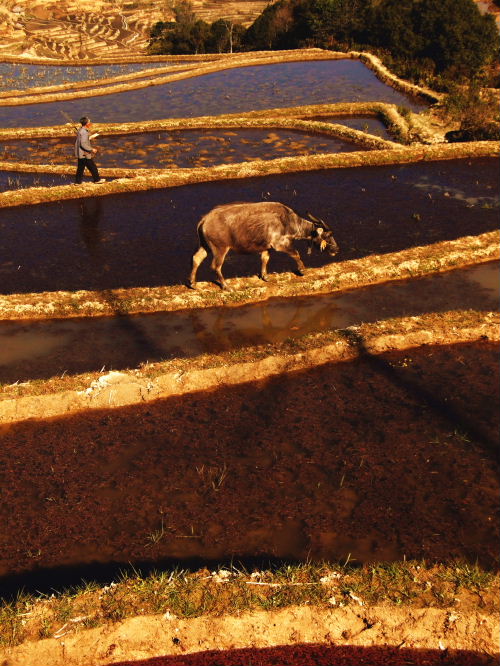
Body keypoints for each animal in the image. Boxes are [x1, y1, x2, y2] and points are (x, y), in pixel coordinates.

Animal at [188, 200, 340, 288]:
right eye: (328, 235)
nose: (336, 249)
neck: (288, 222)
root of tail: (204, 220)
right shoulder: (280, 244)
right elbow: (296, 254)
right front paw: (302, 270)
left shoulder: (267, 247)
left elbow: (264, 259)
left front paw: (265, 276)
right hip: (220, 248)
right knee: (216, 266)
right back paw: (226, 285)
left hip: (205, 246)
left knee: (196, 259)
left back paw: (193, 283)